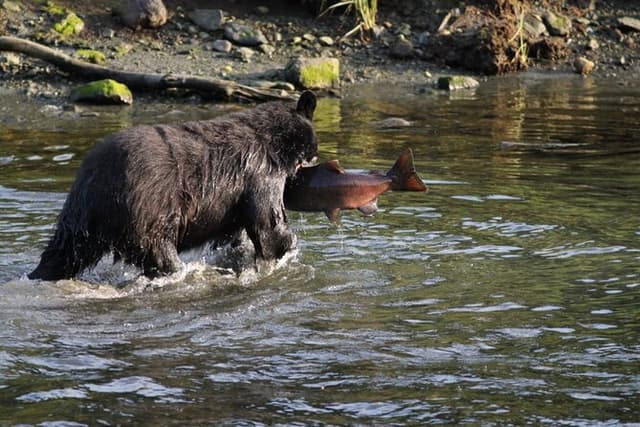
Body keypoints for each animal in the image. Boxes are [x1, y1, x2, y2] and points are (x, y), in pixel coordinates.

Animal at [28, 91, 318, 280]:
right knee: (160, 253)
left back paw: (39, 274)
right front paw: (286, 246)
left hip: (79, 218)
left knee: (62, 252)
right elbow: (267, 222)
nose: (315, 156)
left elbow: (237, 235)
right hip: (147, 212)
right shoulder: (259, 172)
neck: (274, 142)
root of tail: (97, 185)